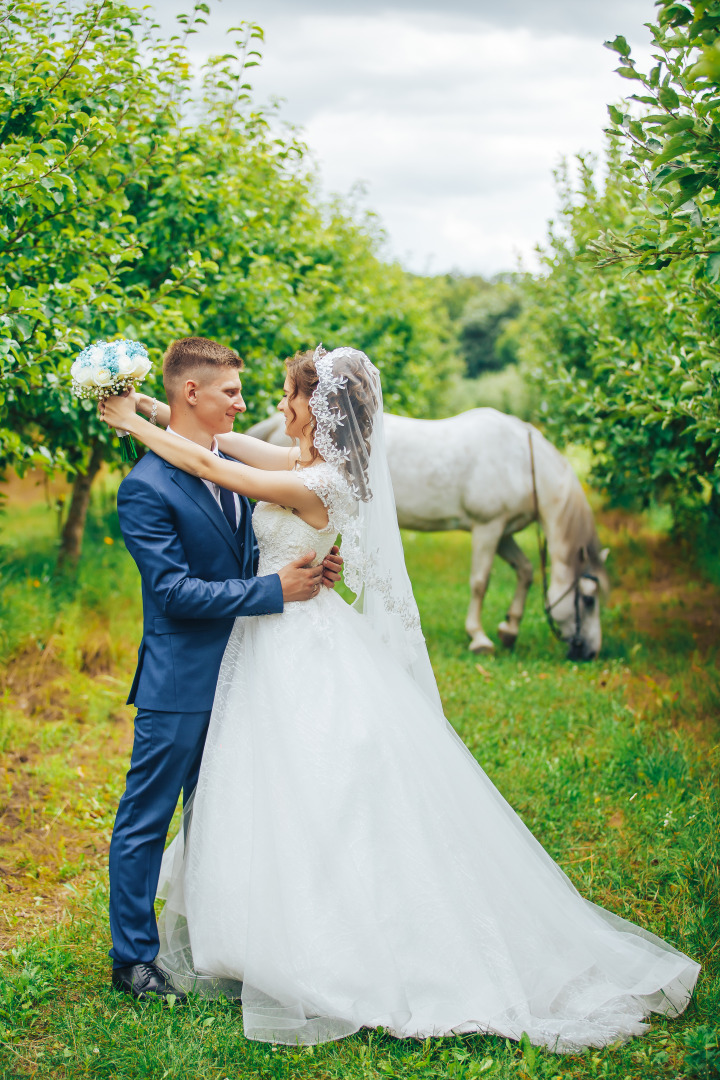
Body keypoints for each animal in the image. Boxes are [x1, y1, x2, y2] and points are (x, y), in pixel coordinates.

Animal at [248, 406, 608, 656]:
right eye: (589, 600)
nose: (590, 652)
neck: (518, 459)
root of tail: (275, 422)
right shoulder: (488, 528)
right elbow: (480, 582)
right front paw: (479, 638)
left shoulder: (503, 532)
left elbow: (526, 570)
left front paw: (509, 629)